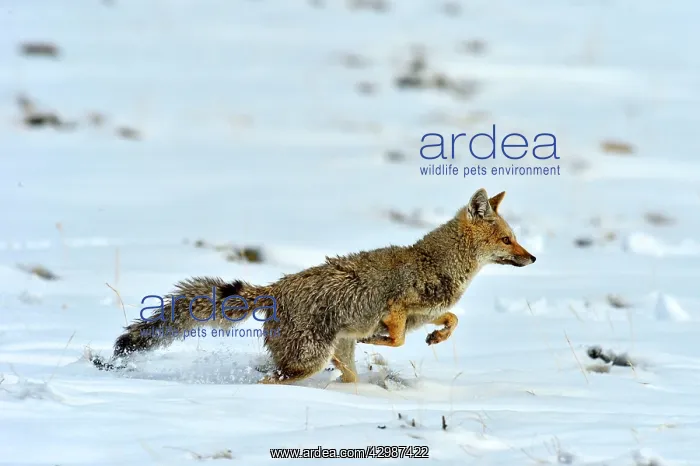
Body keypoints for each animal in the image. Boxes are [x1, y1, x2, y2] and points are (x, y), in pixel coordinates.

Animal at [91, 188, 536, 385]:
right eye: (507, 239)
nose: (532, 259)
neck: (442, 265)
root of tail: (272, 289)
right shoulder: (396, 307)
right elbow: (394, 339)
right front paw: (380, 340)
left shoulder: (425, 314)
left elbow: (452, 319)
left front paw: (437, 339)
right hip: (308, 362)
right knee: (272, 381)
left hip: (329, 359)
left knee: (344, 378)